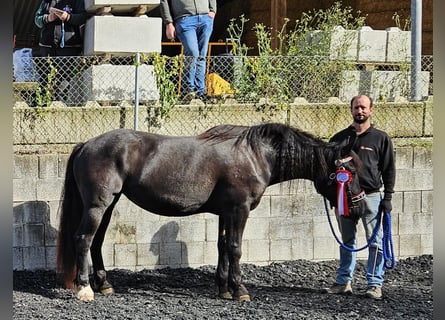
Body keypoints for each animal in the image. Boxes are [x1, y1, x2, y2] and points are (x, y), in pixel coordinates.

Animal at [56, 122, 364, 300]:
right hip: (97, 205)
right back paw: (85, 289)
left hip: (108, 205)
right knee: (83, 240)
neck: (255, 155)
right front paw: (240, 291)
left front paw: (224, 289)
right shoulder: (239, 210)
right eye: (348, 173)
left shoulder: (225, 213)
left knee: (96, 242)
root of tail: (86, 144)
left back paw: (104, 285)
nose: (359, 206)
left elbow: (223, 247)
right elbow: (236, 249)